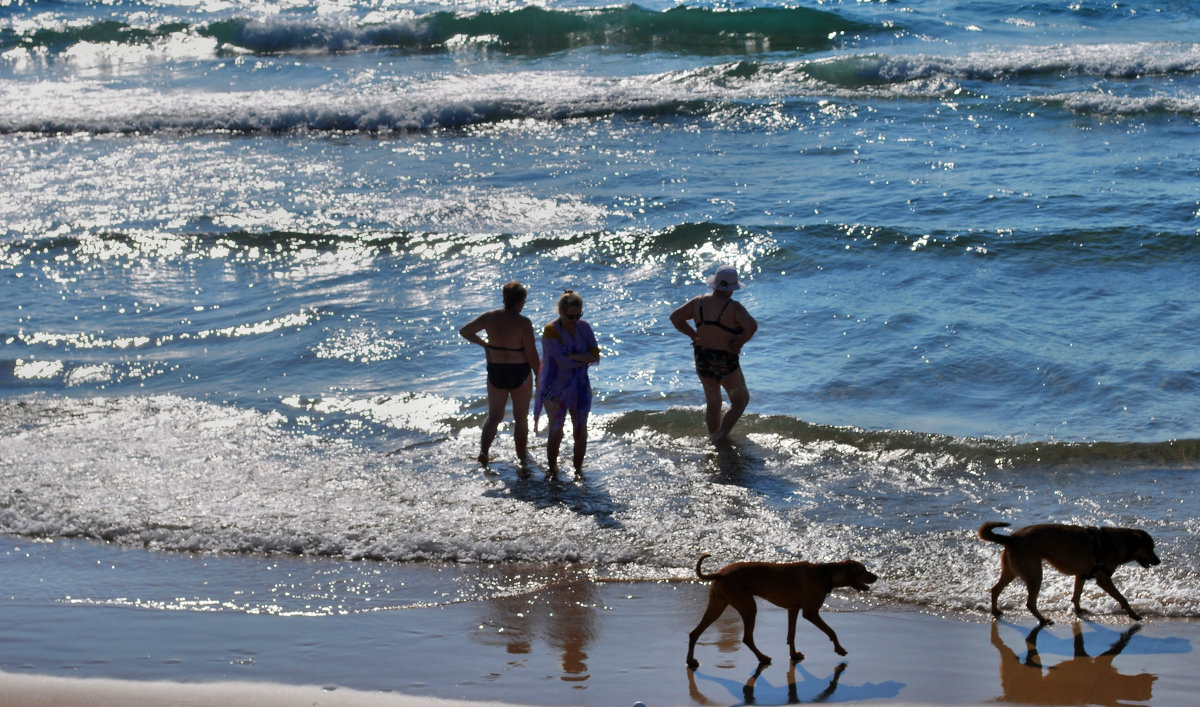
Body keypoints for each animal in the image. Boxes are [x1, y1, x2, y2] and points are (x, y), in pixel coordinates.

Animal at [686, 552, 883, 667]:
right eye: (864, 570)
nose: (876, 576)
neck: (826, 573)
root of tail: (719, 573)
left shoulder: (793, 609)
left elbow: (791, 635)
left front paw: (794, 655)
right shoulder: (810, 613)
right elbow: (831, 631)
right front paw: (839, 649)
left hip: (718, 605)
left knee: (694, 633)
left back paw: (691, 660)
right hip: (748, 607)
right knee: (747, 638)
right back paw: (762, 658)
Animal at [974, 518, 1161, 624]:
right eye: (1150, 548)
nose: (1158, 561)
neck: (1121, 542)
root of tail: (1011, 538)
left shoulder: (1081, 575)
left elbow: (1076, 595)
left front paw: (1078, 610)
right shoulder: (1103, 578)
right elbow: (1122, 598)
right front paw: (1133, 615)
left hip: (1011, 571)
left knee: (995, 589)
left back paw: (995, 611)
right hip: (1035, 575)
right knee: (1029, 603)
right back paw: (1043, 620)